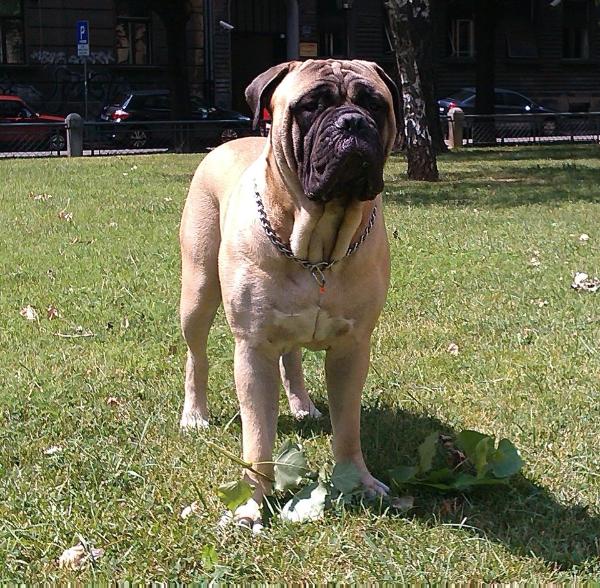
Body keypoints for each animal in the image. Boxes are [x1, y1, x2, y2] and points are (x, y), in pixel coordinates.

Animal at [180, 59, 400, 528]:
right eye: (310, 106)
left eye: (375, 104)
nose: (353, 122)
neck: (317, 242)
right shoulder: (252, 349)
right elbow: (257, 438)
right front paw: (251, 502)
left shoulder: (353, 349)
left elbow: (348, 427)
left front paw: (358, 481)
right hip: (197, 292)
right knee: (197, 356)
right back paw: (195, 414)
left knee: (293, 357)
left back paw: (302, 405)